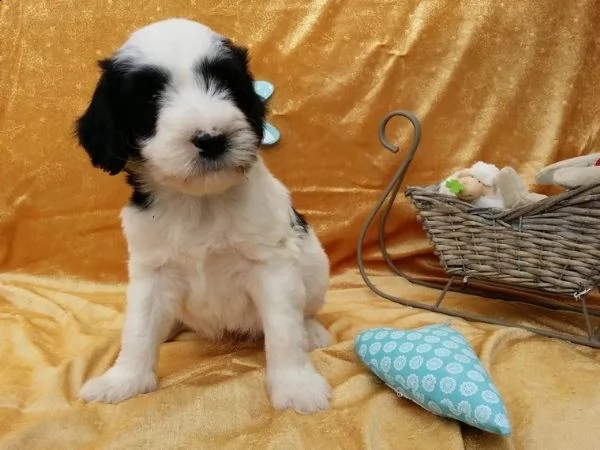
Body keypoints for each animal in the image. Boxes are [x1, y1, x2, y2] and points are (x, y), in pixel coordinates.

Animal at [75, 17, 330, 414]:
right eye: (149, 98)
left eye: (226, 85)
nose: (212, 138)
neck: (200, 203)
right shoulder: (151, 269)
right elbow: (138, 328)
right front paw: (124, 380)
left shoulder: (272, 265)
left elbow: (284, 330)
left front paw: (296, 385)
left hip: (315, 265)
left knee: (305, 311)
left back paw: (312, 331)